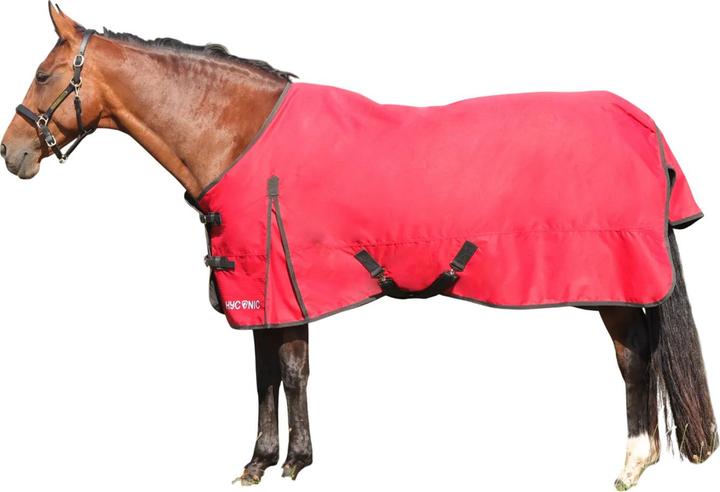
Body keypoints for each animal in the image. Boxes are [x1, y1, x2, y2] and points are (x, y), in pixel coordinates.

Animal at [1, 4, 716, 490]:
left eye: (43, 75)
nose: (13, 154)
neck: (241, 136)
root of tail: (643, 124)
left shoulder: (287, 281)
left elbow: (289, 371)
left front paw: (291, 464)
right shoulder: (264, 290)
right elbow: (265, 374)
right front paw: (260, 462)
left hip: (612, 284)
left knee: (633, 360)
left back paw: (630, 463)